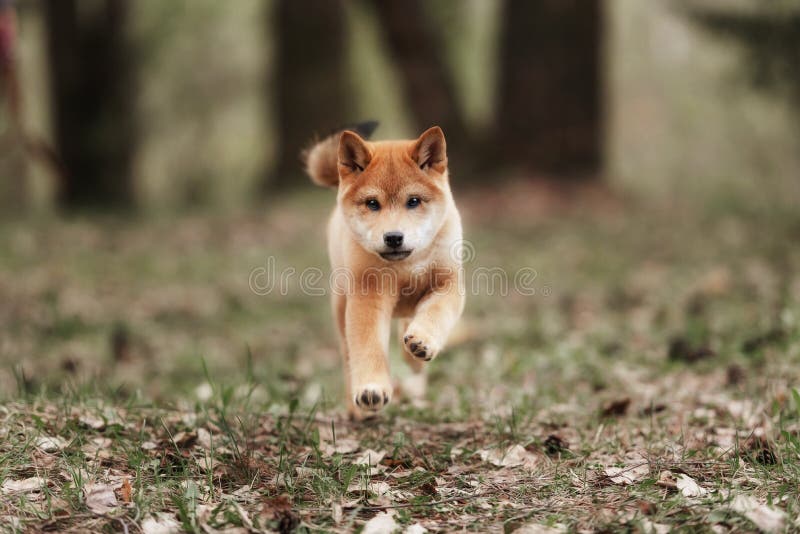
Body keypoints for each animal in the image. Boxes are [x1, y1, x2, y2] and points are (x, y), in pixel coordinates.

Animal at [304, 124, 466, 418]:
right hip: (342, 309)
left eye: (413, 201)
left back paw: (413, 356)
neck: (405, 266)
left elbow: (435, 313)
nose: (393, 237)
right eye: (372, 203)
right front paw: (372, 389)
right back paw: (358, 410)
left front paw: (422, 342)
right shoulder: (368, 296)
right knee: (348, 358)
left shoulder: (448, 284)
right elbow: (369, 348)